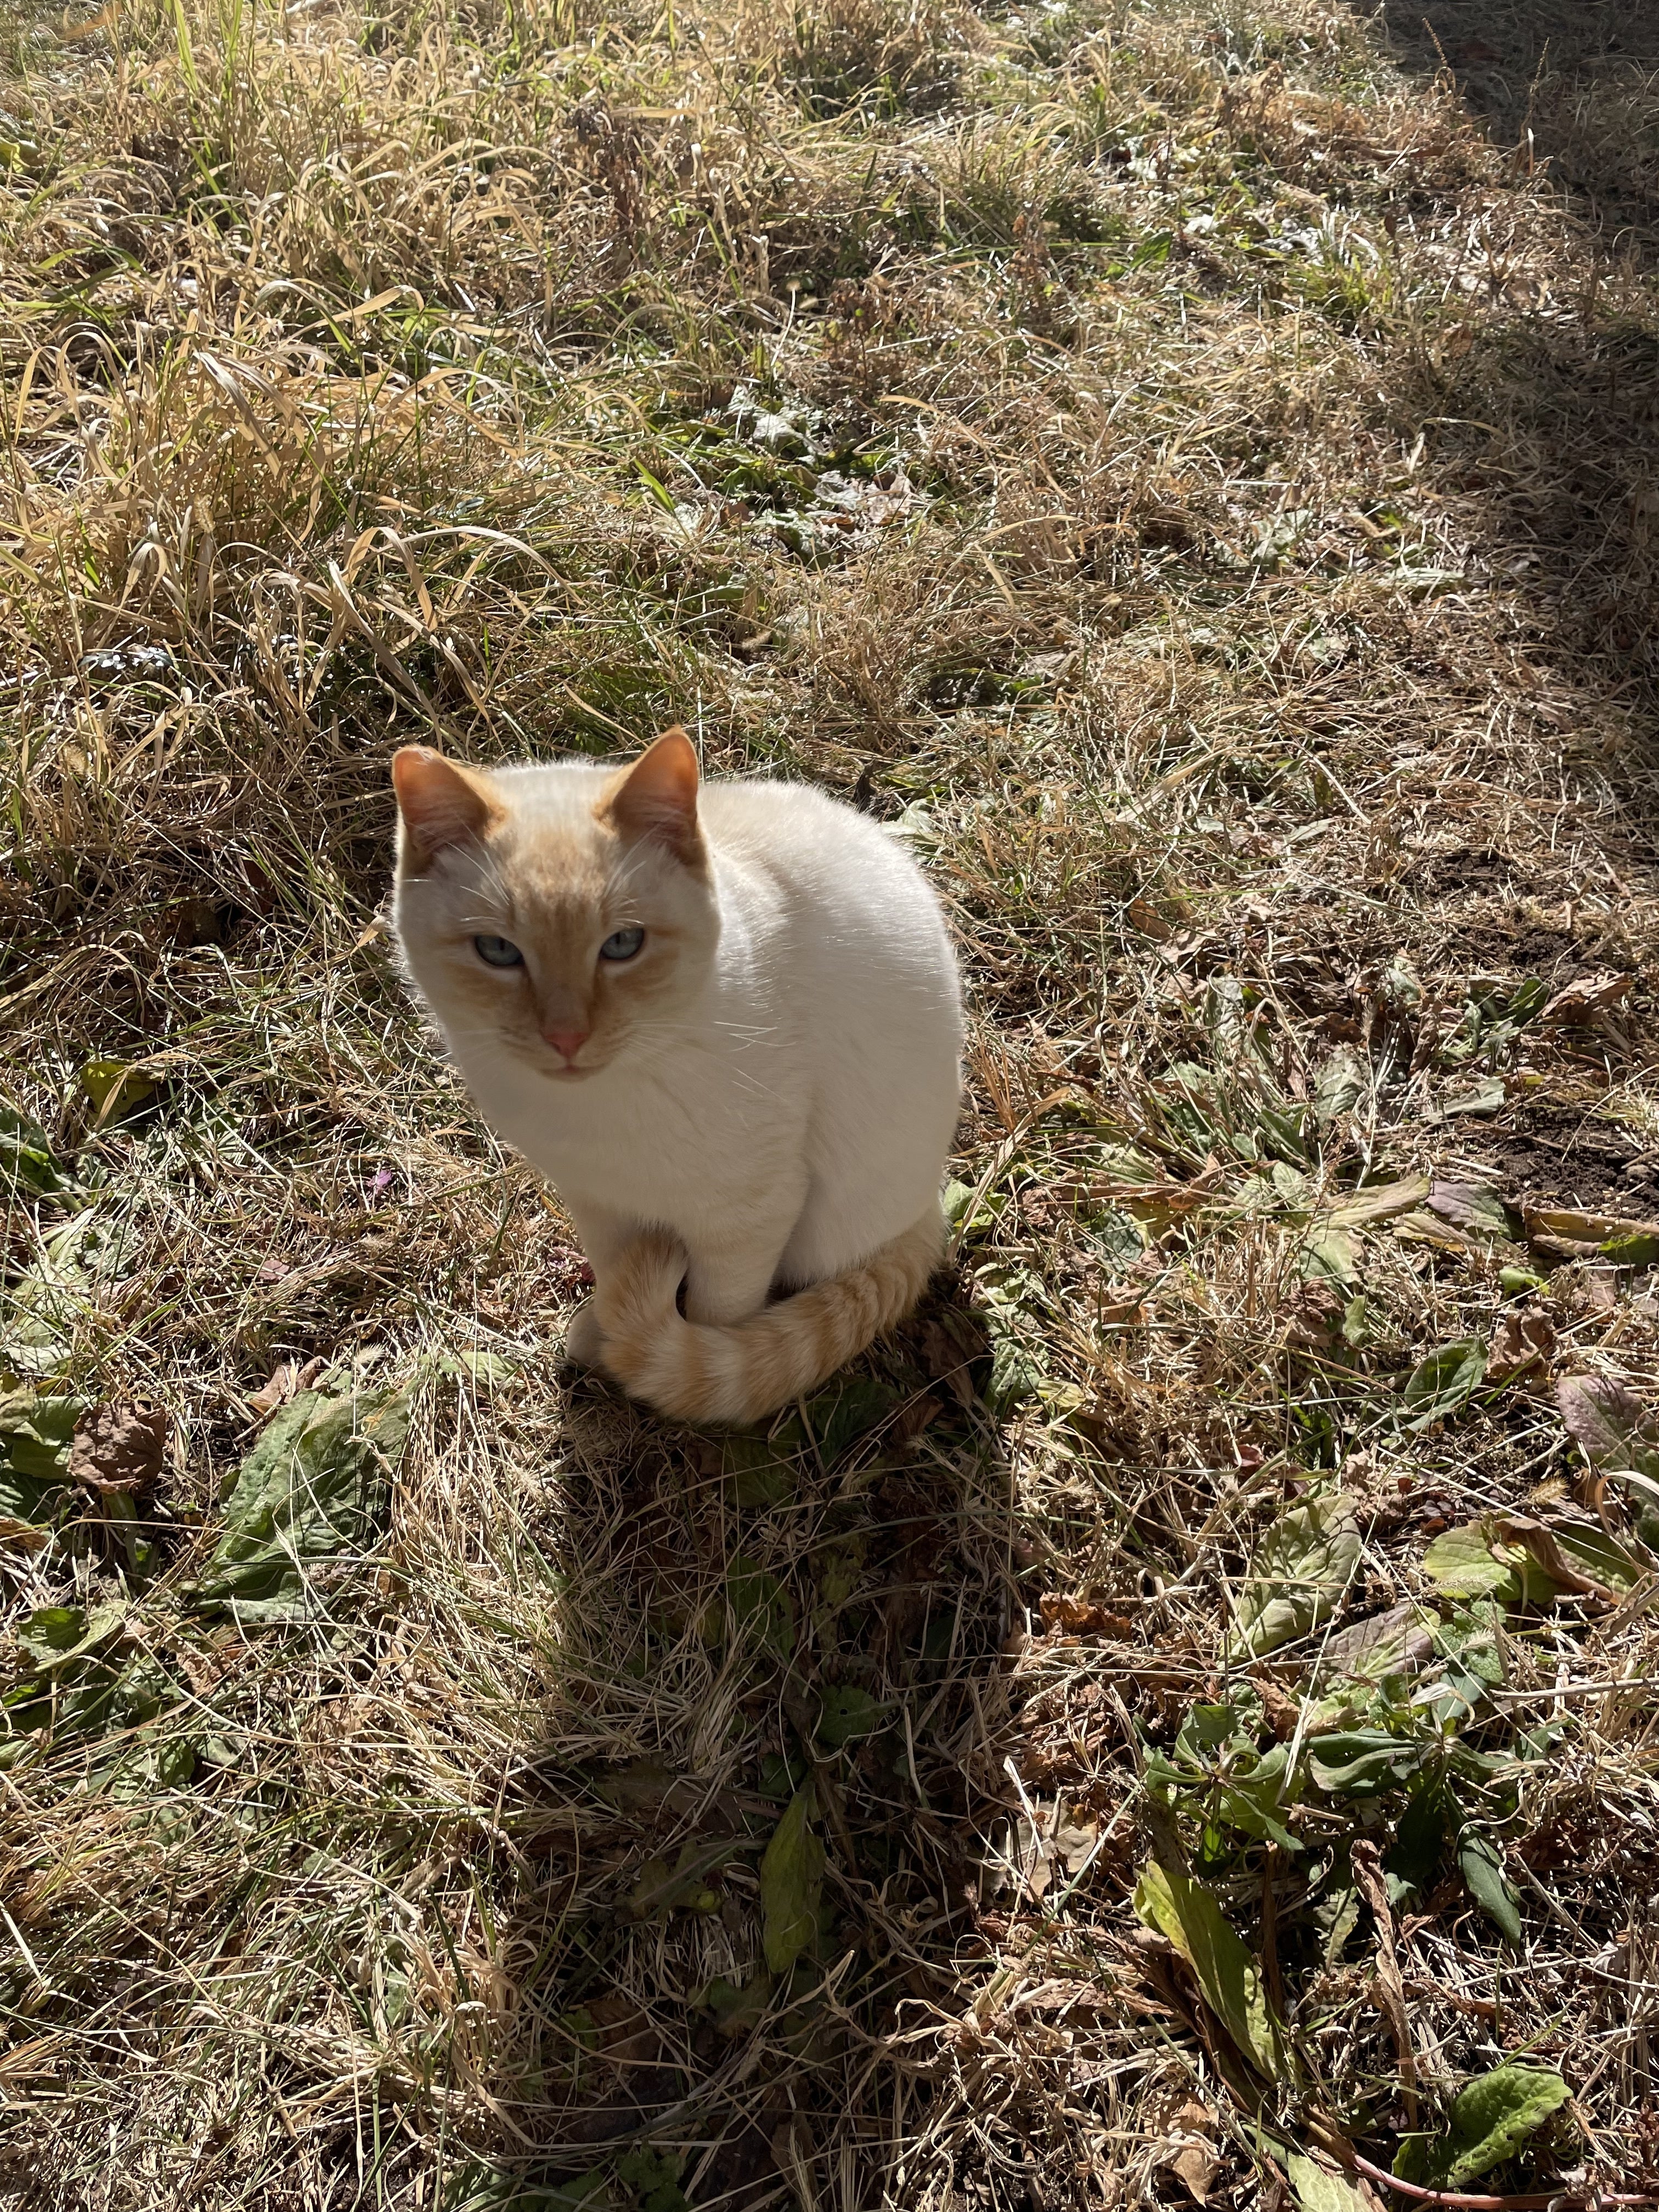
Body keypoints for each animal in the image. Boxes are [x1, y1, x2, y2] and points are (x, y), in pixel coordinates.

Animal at [390, 727, 964, 1424]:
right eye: (498, 952)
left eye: (623, 945)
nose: (566, 1039)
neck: (601, 1105)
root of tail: (931, 1206)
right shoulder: (596, 1199)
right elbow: (615, 1273)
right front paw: (605, 1334)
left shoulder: (751, 1217)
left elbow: (720, 1321)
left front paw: (690, 1383)